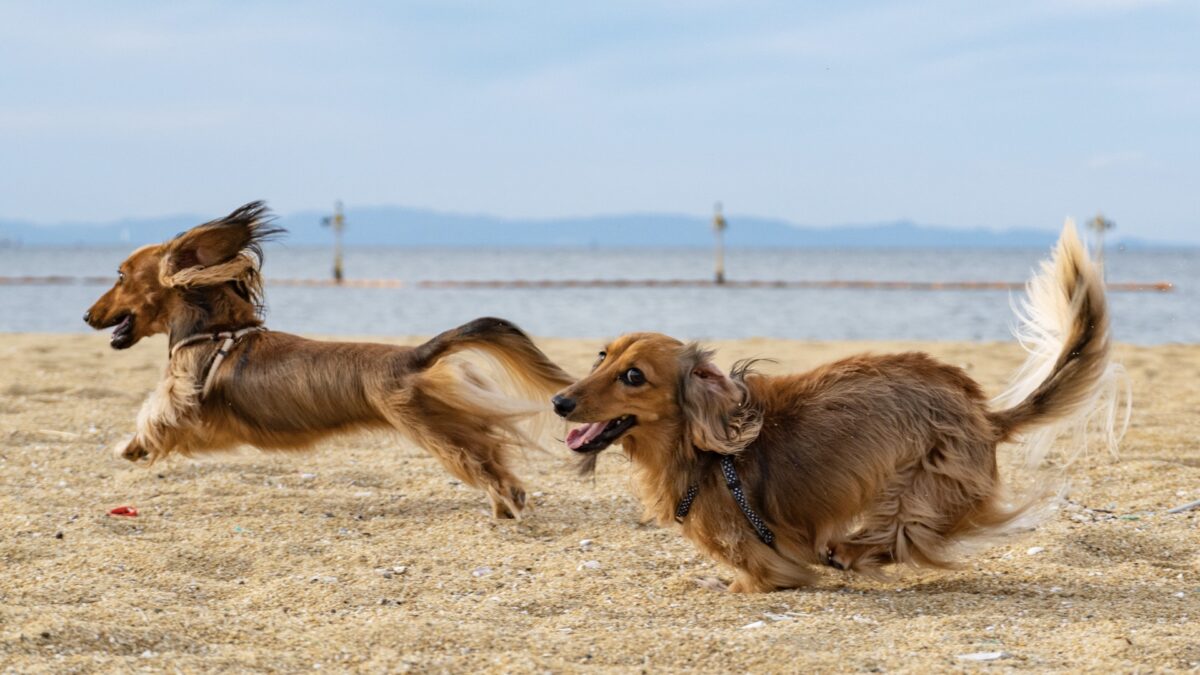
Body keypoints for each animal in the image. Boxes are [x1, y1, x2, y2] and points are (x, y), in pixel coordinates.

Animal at [84, 199, 571, 514]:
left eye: (121, 275)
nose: (87, 315)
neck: (214, 330)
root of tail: (414, 356)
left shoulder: (182, 396)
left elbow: (154, 413)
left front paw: (131, 446)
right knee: (492, 449)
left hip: (434, 427)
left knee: (484, 457)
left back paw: (508, 501)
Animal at [552, 222, 1123, 588]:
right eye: (602, 355)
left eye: (634, 376)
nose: (559, 401)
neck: (705, 450)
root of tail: (983, 415)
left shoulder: (767, 561)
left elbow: (760, 577)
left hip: (920, 486)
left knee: (899, 535)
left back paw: (846, 552)